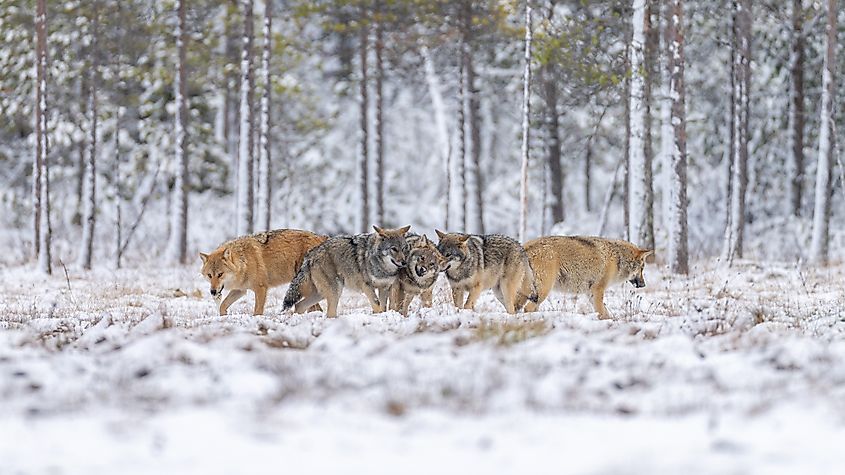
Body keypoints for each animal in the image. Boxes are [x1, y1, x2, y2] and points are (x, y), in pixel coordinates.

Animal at [199, 229, 327, 316]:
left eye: (220, 274)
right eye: (209, 275)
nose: (212, 292)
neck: (244, 261)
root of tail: (322, 238)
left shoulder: (261, 288)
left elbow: (257, 311)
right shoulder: (240, 290)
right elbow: (222, 306)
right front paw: (224, 316)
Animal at [282, 225, 411, 318]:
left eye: (404, 248)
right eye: (393, 249)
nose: (404, 262)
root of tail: (311, 254)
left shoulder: (383, 287)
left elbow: (383, 306)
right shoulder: (367, 286)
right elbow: (377, 304)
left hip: (320, 294)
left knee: (299, 305)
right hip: (335, 291)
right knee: (329, 313)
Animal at [515, 236, 653, 319]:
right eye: (642, 268)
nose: (644, 285)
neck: (618, 258)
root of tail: (526, 247)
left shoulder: (591, 293)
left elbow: (604, 311)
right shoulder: (598, 290)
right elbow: (602, 310)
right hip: (542, 291)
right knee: (527, 308)